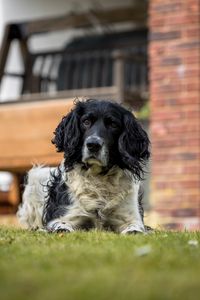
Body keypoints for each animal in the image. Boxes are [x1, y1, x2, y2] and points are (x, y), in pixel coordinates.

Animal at [17, 99, 150, 233]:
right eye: (86, 122)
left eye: (113, 124)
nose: (93, 144)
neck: (99, 177)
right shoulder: (65, 216)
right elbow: (62, 227)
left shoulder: (130, 218)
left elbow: (134, 229)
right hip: (36, 177)